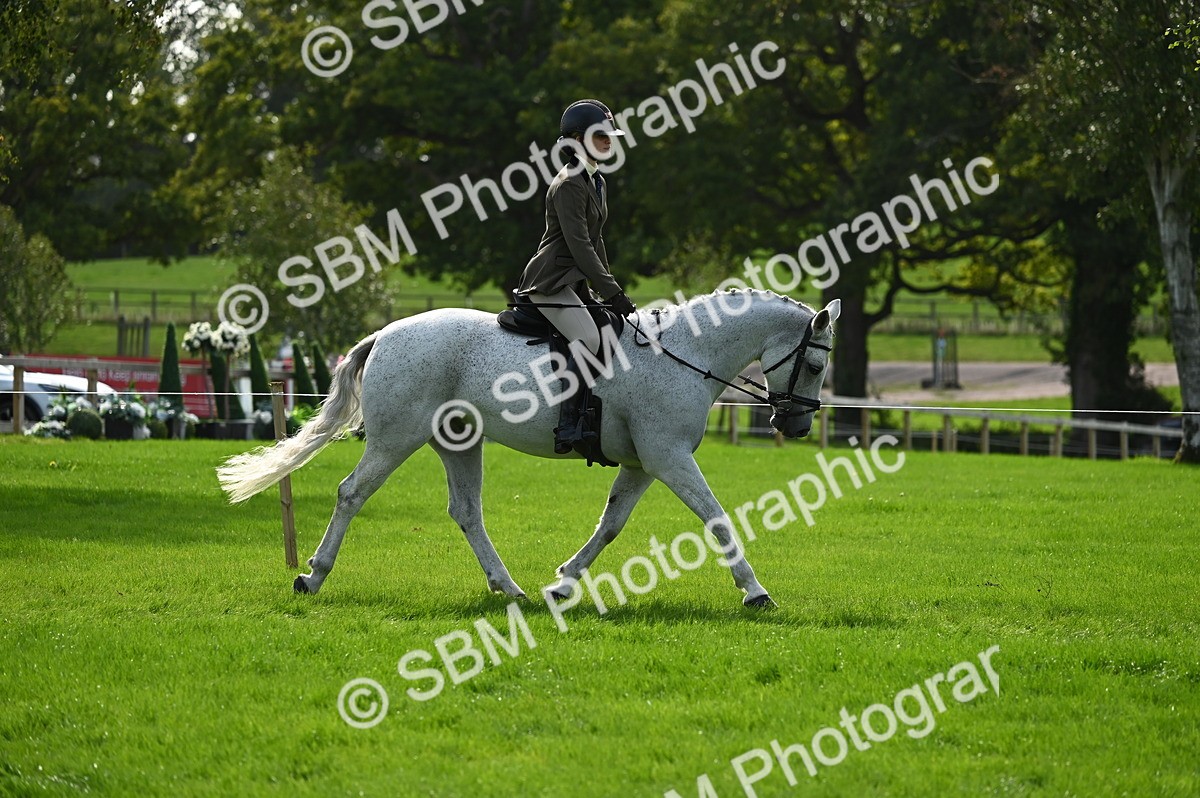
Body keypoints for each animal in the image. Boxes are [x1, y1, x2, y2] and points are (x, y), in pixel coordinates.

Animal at [217, 290, 840, 607]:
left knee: (466, 511)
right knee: (351, 494)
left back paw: (509, 587)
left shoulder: (645, 463)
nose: (795, 425)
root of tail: (386, 333)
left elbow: (610, 525)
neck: (683, 351)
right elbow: (715, 517)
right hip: (397, 439)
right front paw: (755, 592)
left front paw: (563, 582)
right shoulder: (669, 458)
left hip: (458, 442)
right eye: (814, 364)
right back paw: (312, 577)